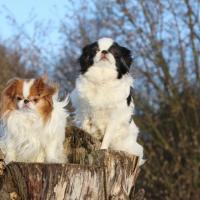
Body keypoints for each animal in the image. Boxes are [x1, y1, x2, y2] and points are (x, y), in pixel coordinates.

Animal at [70, 38, 144, 166]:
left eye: (114, 52)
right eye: (96, 50)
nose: (104, 51)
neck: (102, 79)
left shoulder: (113, 119)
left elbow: (106, 138)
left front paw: (103, 150)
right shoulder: (85, 112)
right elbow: (85, 127)